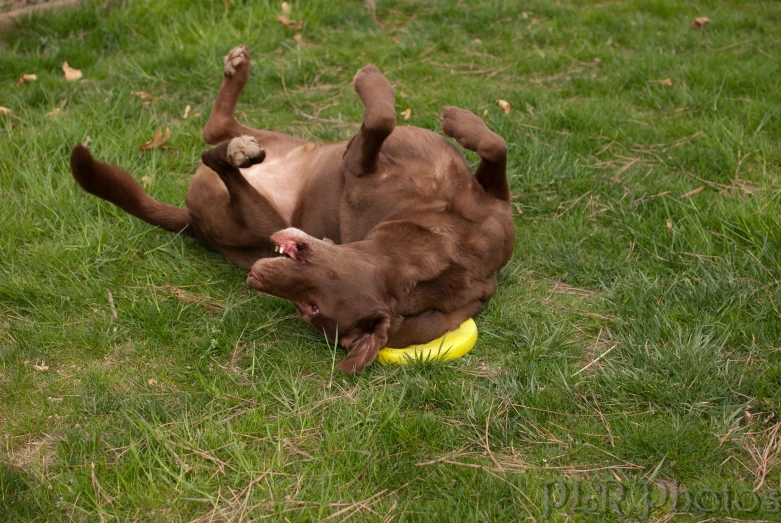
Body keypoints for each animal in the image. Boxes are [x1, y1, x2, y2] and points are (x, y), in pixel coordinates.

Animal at [70, 44, 516, 372]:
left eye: (310, 308)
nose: (255, 279)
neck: (439, 243)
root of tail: (192, 221)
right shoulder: (489, 203)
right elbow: (492, 146)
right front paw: (456, 119)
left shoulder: (357, 164)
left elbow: (381, 120)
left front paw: (372, 81)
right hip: (293, 143)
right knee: (217, 130)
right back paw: (237, 78)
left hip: (256, 216)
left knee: (213, 148)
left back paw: (233, 150)